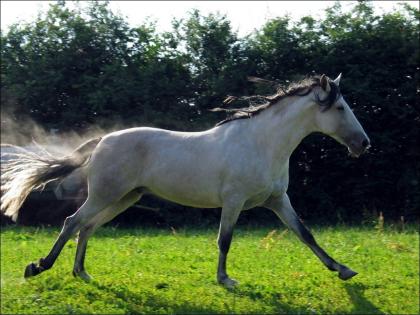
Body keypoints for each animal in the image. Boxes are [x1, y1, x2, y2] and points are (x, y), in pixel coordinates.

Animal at [0, 74, 370, 288]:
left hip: (124, 198)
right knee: (72, 222)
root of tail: (104, 139)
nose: (364, 144)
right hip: (105, 195)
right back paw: (38, 267)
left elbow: (305, 234)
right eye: (339, 107)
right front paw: (225, 280)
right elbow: (225, 240)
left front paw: (344, 269)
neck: (262, 143)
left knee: (86, 227)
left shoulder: (278, 201)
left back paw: (82, 273)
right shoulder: (234, 202)